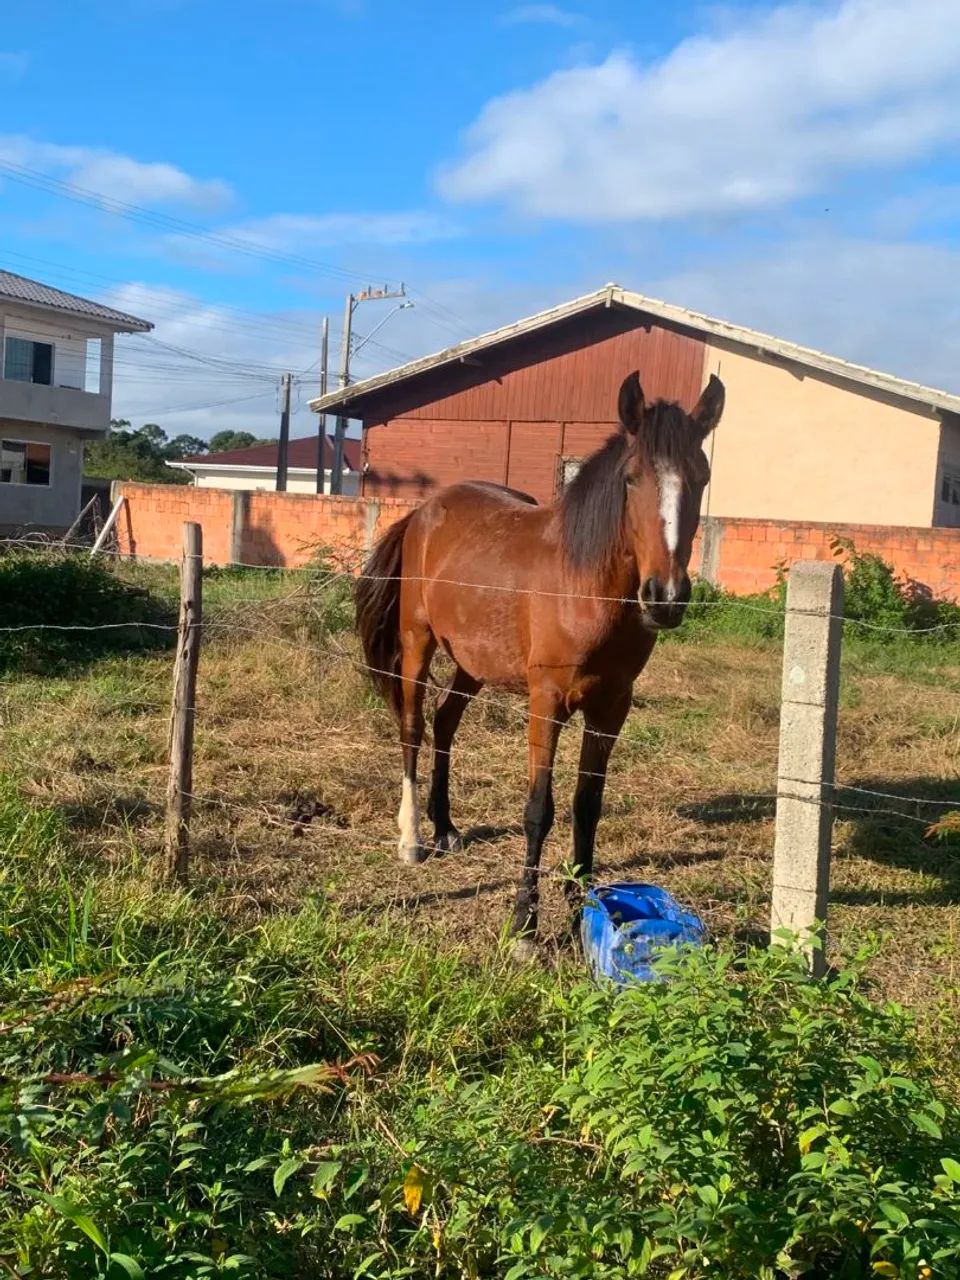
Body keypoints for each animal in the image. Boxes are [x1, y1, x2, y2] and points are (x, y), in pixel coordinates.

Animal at [355, 369, 725, 953]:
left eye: (702, 476)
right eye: (631, 479)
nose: (665, 597)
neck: (584, 586)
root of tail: (423, 512)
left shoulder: (610, 709)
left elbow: (587, 806)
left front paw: (583, 906)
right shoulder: (546, 702)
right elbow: (538, 810)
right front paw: (525, 923)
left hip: (473, 663)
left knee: (445, 722)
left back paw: (446, 828)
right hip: (417, 644)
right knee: (413, 727)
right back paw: (413, 839)